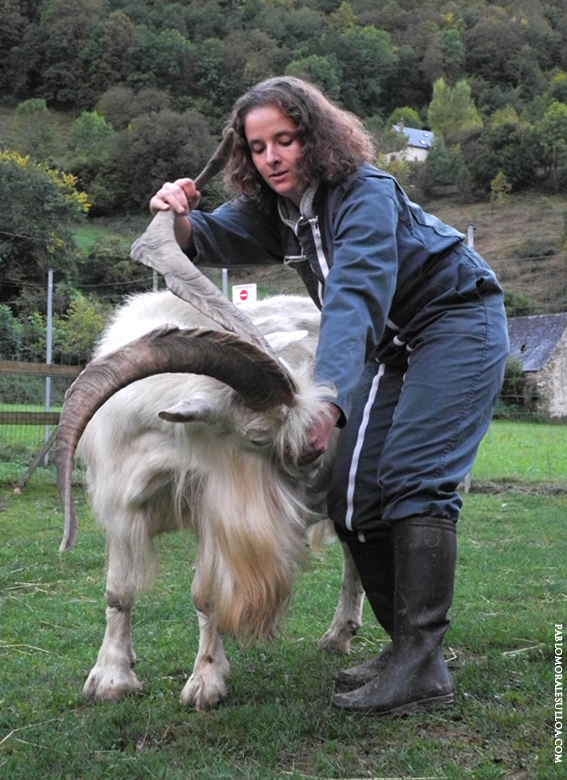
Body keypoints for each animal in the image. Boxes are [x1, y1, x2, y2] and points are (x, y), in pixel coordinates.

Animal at [55, 210, 364, 710]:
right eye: (257, 437)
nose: (314, 482)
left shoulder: (210, 508)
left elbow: (205, 595)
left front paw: (205, 682)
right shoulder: (121, 503)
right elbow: (118, 592)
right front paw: (111, 677)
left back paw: (339, 635)